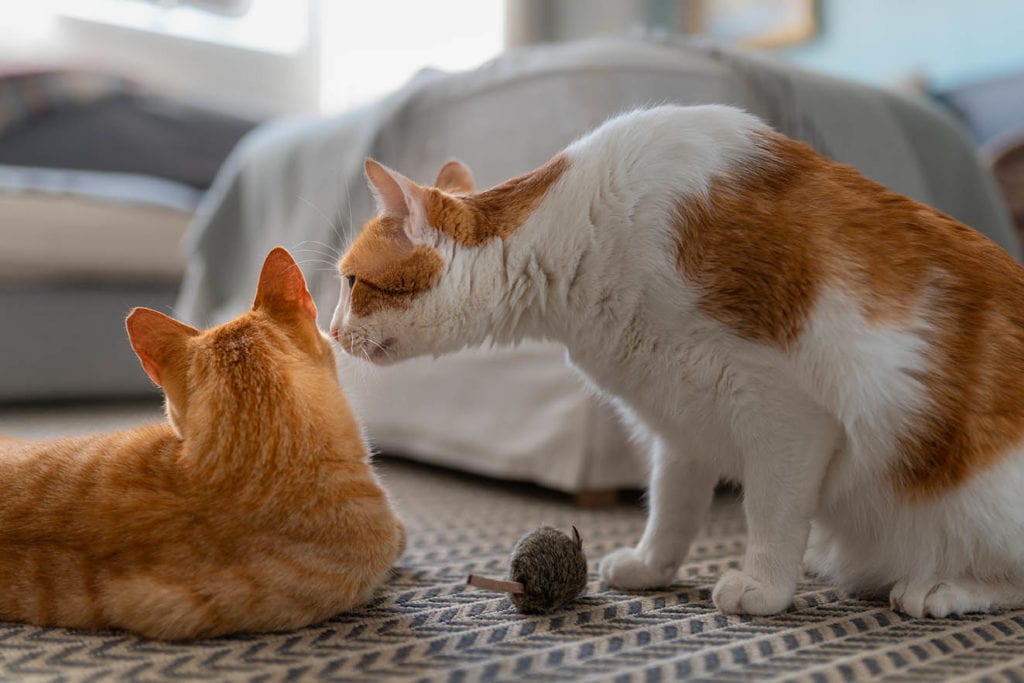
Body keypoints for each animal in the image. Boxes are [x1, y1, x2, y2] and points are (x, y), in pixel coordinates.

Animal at [331, 102, 1024, 618]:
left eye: (351, 282)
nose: (331, 331)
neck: (580, 232)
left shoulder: (784, 414)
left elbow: (771, 512)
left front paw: (764, 587)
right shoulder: (680, 414)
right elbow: (671, 505)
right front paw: (651, 566)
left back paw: (943, 587)